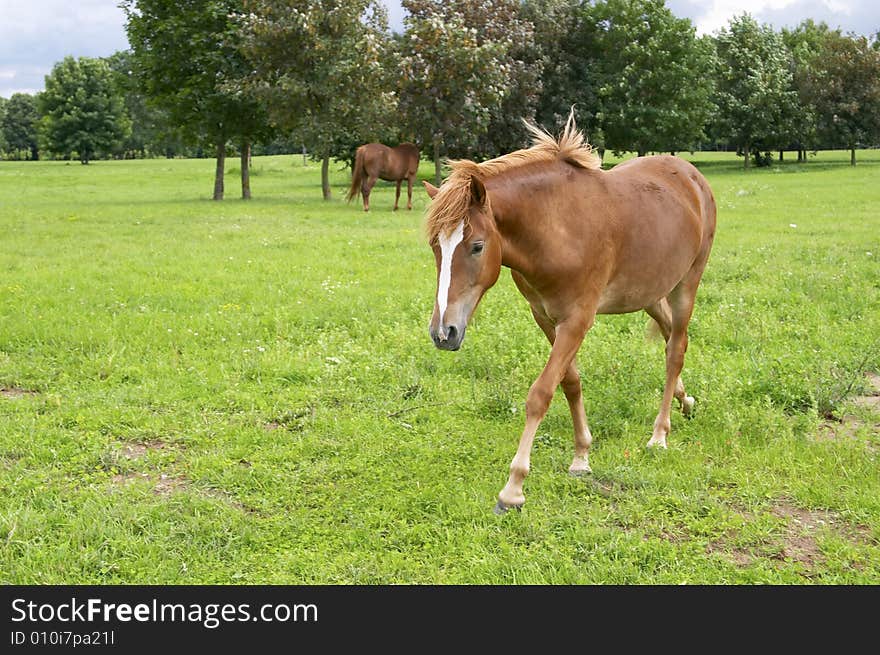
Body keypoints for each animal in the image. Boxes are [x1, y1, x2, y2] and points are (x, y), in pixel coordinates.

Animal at [422, 115, 720, 516]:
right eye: (435, 246)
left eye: (477, 246)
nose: (444, 332)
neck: (557, 228)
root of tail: (691, 175)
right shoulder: (546, 318)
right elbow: (570, 383)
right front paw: (581, 457)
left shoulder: (577, 320)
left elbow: (541, 393)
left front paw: (513, 488)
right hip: (649, 291)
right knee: (670, 333)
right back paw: (685, 401)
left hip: (686, 284)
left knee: (676, 349)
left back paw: (660, 434)